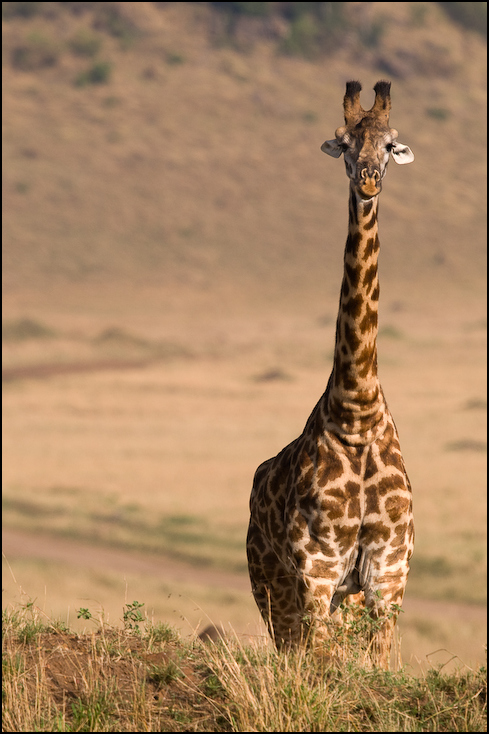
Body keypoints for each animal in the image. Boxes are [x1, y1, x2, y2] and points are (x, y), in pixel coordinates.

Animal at [246, 82, 414, 672]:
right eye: (343, 142)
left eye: (390, 144)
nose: (367, 180)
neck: (357, 408)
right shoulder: (316, 568)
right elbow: (318, 667)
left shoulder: (388, 570)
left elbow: (381, 664)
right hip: (271, 583)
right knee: (292, 648)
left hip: (341, 594)